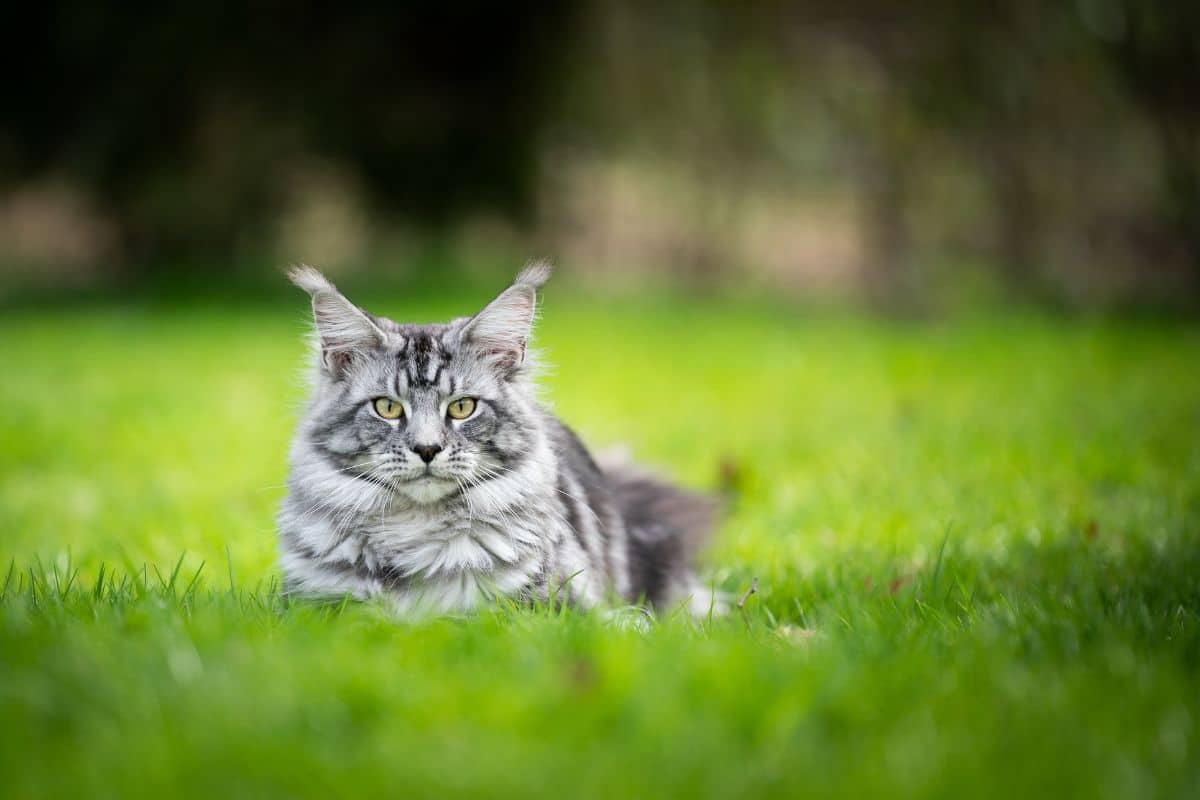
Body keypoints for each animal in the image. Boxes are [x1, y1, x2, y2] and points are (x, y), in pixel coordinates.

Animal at [276, 262, 715, 618]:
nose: (427, 449)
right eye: (387, 407)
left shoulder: (566, 608)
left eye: (462, 407)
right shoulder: (315, 606)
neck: (414, 530)